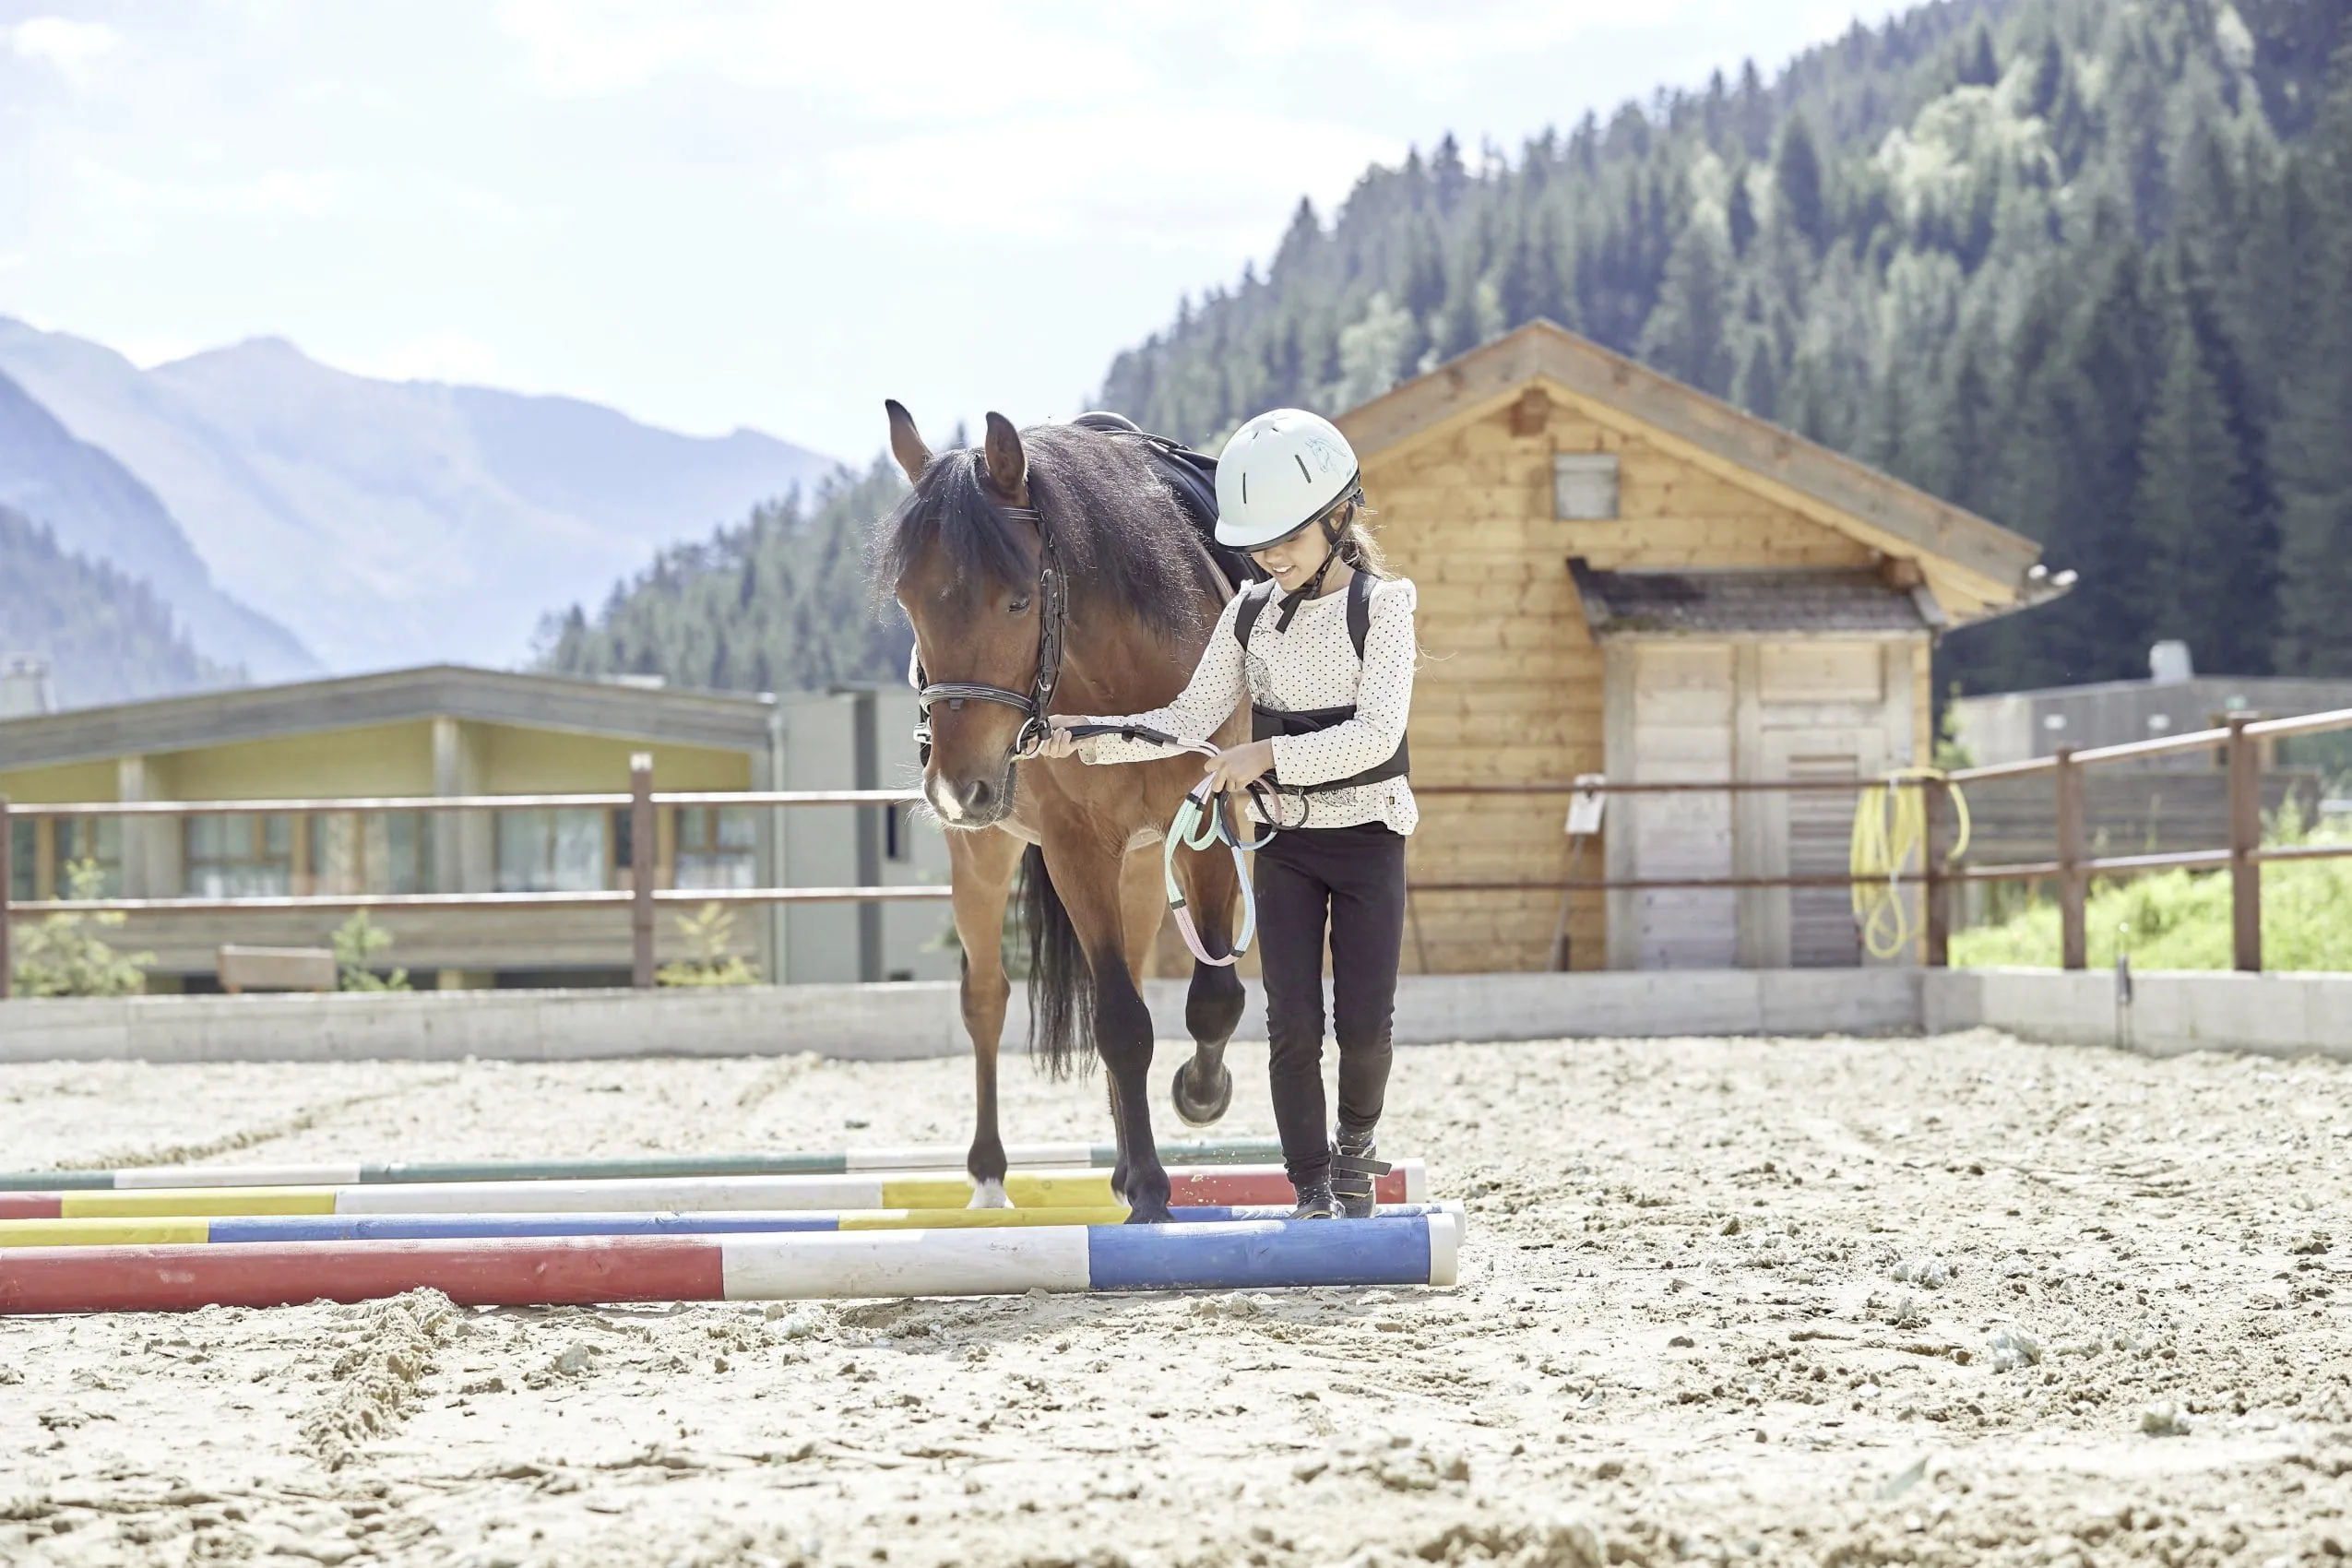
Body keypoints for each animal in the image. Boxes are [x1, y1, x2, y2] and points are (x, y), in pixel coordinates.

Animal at [873, 402, 1249, 1223]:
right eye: (908, 602)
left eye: (1018, 598)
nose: (957, 787)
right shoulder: (1077, 850)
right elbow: (1120, 1022)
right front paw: (1150, 1191)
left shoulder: (1206, 826)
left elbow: (1213, 998)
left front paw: (1199, 1097)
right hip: (982, 857)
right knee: (986, 999)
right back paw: (989, 1177)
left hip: (1140, 865)